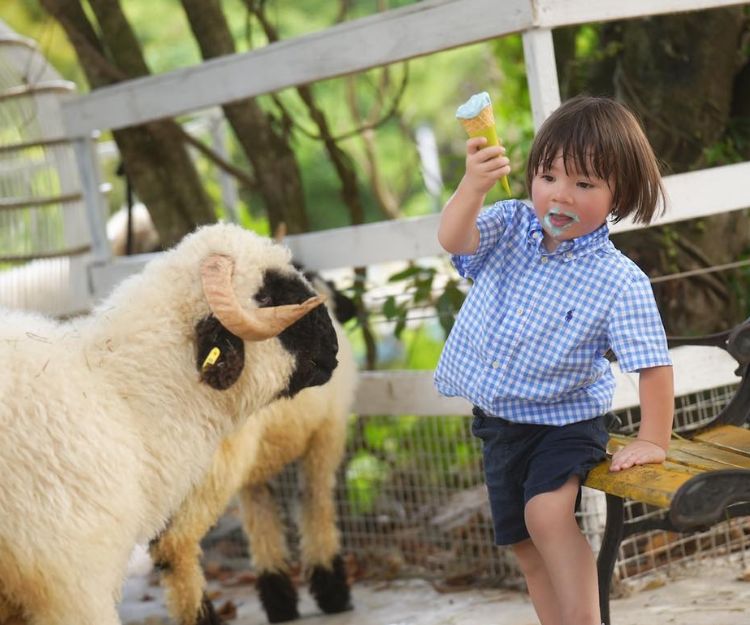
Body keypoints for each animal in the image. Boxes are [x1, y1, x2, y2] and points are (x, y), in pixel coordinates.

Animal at [151, 272, 360, 624]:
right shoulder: (326, 435)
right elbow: (314, 503)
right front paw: (332, 592)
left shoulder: (254, 472)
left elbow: (261, 520)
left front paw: (280, 603)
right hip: (215, 469)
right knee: (174, 544)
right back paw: (201, 615)